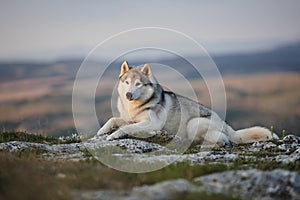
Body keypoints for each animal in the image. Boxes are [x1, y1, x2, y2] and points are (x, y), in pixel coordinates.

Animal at [96, 60, 278, 146]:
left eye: (138, 84)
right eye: (127, 82)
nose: (128, 94)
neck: (134, 107)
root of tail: (226, 125)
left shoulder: (151, 123)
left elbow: (126, 128)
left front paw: (113, 135)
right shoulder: (129, 118)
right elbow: (113, 120)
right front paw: (102, 131)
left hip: (193, 123)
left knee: (223, 140)